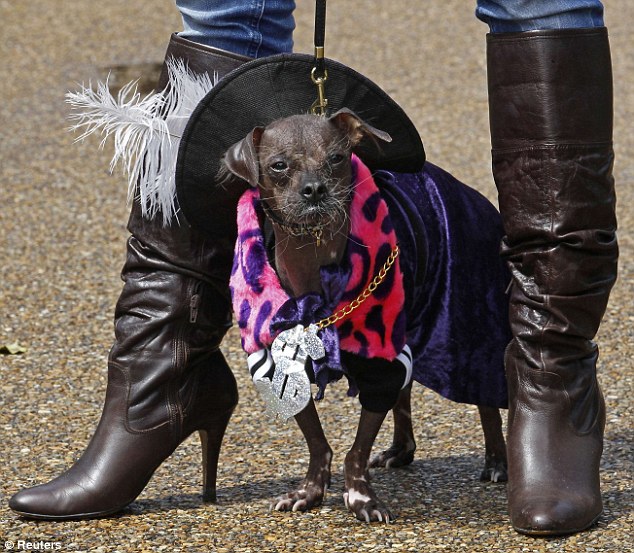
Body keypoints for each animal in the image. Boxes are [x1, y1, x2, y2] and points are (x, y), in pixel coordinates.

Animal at [222, 109, 508, 520]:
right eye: (279, 165)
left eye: (337, 158)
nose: (314, 189)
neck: (314, 259)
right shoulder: (284, 370)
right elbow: (317, 442)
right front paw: (310, 491)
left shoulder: (379, 363)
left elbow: (356, 450)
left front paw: (361, 497)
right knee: (405, 393)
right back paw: (401, 450)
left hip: (472, 324)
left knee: (486, 396)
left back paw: (497, 460)